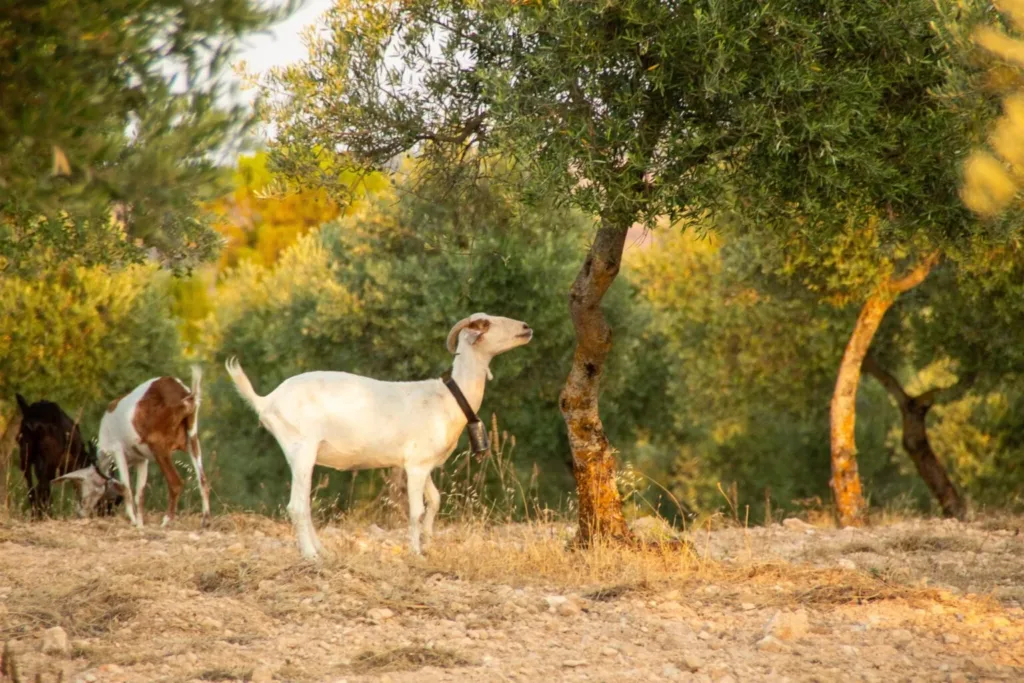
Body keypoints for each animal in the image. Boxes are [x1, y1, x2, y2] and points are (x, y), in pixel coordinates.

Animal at [56, 367, 211, 527]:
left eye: (80, 488)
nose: (80, 513)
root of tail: (185, 396)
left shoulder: (117, 451)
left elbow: (126, 488)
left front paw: (134, 521)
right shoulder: (142, 460)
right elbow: (139, 494)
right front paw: (140, 524)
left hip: (159, 447)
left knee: (176, 483)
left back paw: (166, 521)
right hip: (192, 439)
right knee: (203, 481)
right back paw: (205, 521)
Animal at [225, 312, 533, 559]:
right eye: (485, 324)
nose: (526, 327)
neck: (449, 398)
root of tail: (267, 401)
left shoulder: (422, 464)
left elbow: (435, 500)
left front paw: (429, 542)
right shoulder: (416, 465)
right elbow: (417, 510)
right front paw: (416, 552)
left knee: (306, 505)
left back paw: (323, 550)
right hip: (301, 449)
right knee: (297, 506)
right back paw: (311, 555)